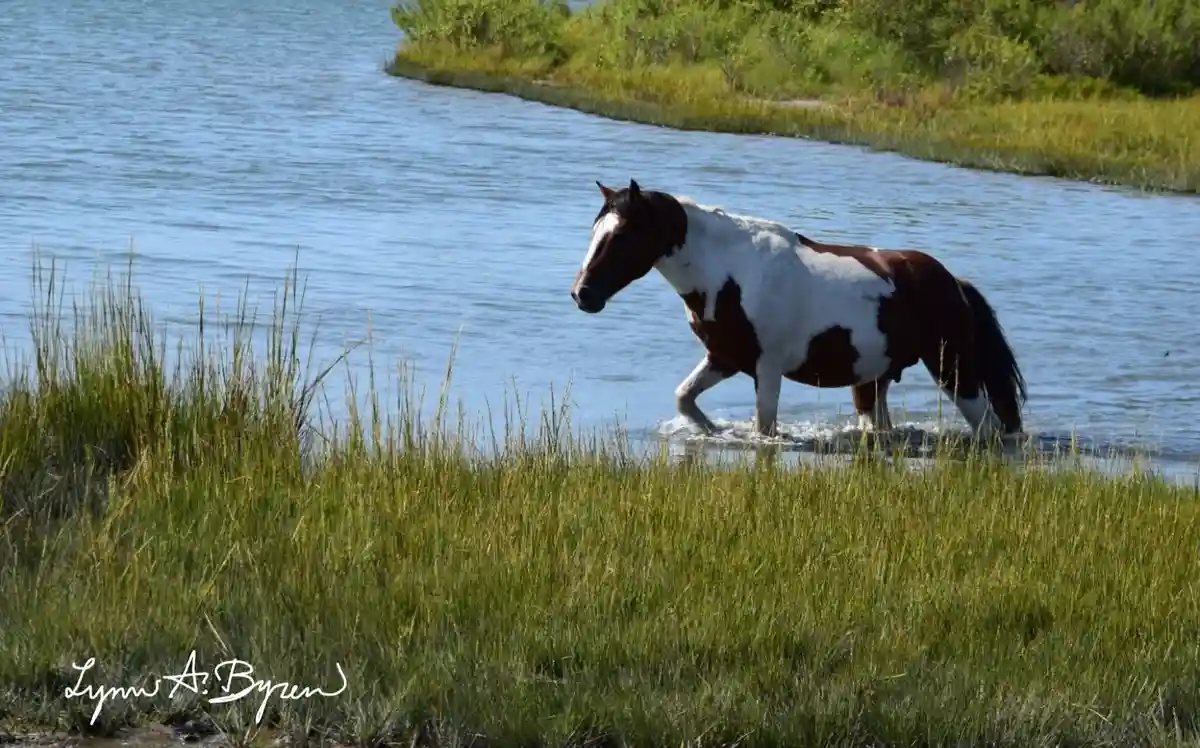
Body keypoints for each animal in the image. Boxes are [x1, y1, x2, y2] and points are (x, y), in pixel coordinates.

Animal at [569, 179, 1028, 441]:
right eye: (596, 231)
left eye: (622, 236)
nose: (582, 294)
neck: (731, 269)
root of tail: (954, 283)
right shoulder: (724, 358)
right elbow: (684, 397)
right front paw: (714, 430)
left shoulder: (767, 368)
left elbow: (765, 429)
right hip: (873, 382)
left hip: (954, 372)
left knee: (987, 427)